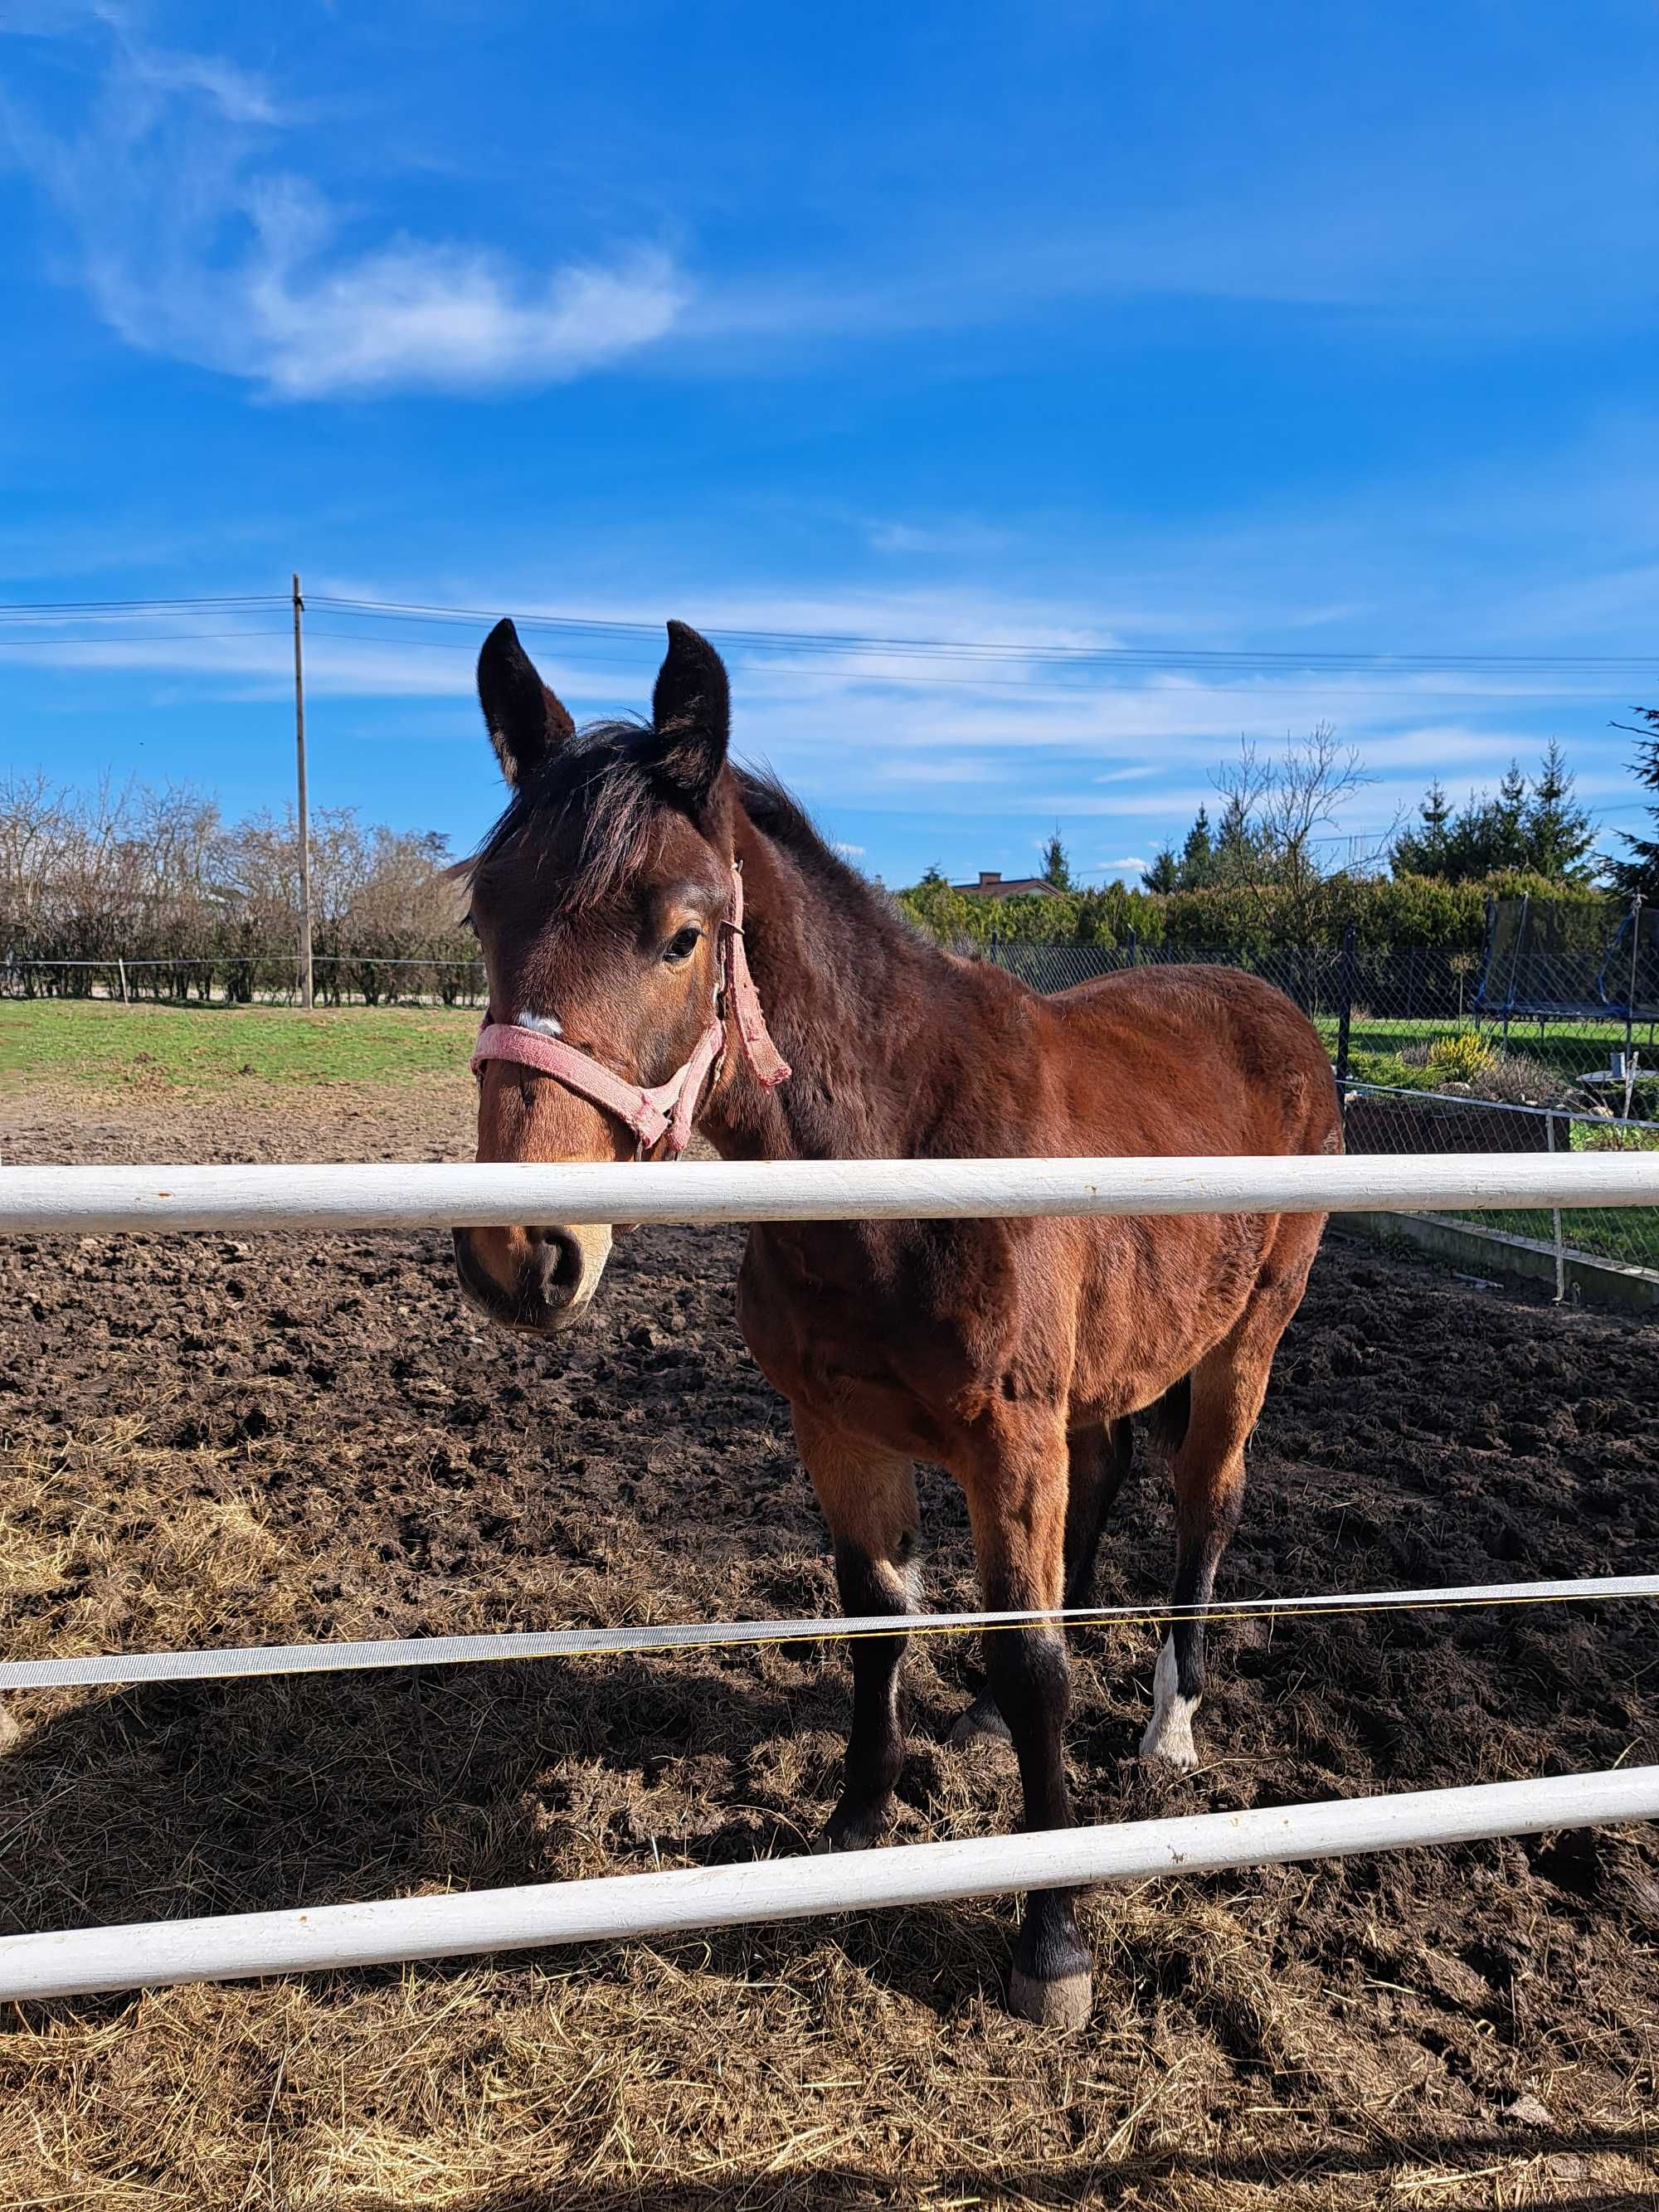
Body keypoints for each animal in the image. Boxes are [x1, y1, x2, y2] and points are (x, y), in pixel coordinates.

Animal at [458, 615, 1354, 2025]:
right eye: (484, 912)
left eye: (681, 933)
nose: (519, 1257)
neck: (899, 1155)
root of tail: (1280, 1013)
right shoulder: (840, 1426)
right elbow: (880, 1615)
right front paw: (855, 1825)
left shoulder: (1007, 1436)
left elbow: (1037, 1661)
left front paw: (1054, 1940)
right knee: (1103, 1484)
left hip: (1241, 1347)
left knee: (1207, 1507)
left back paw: (1171, 1724)